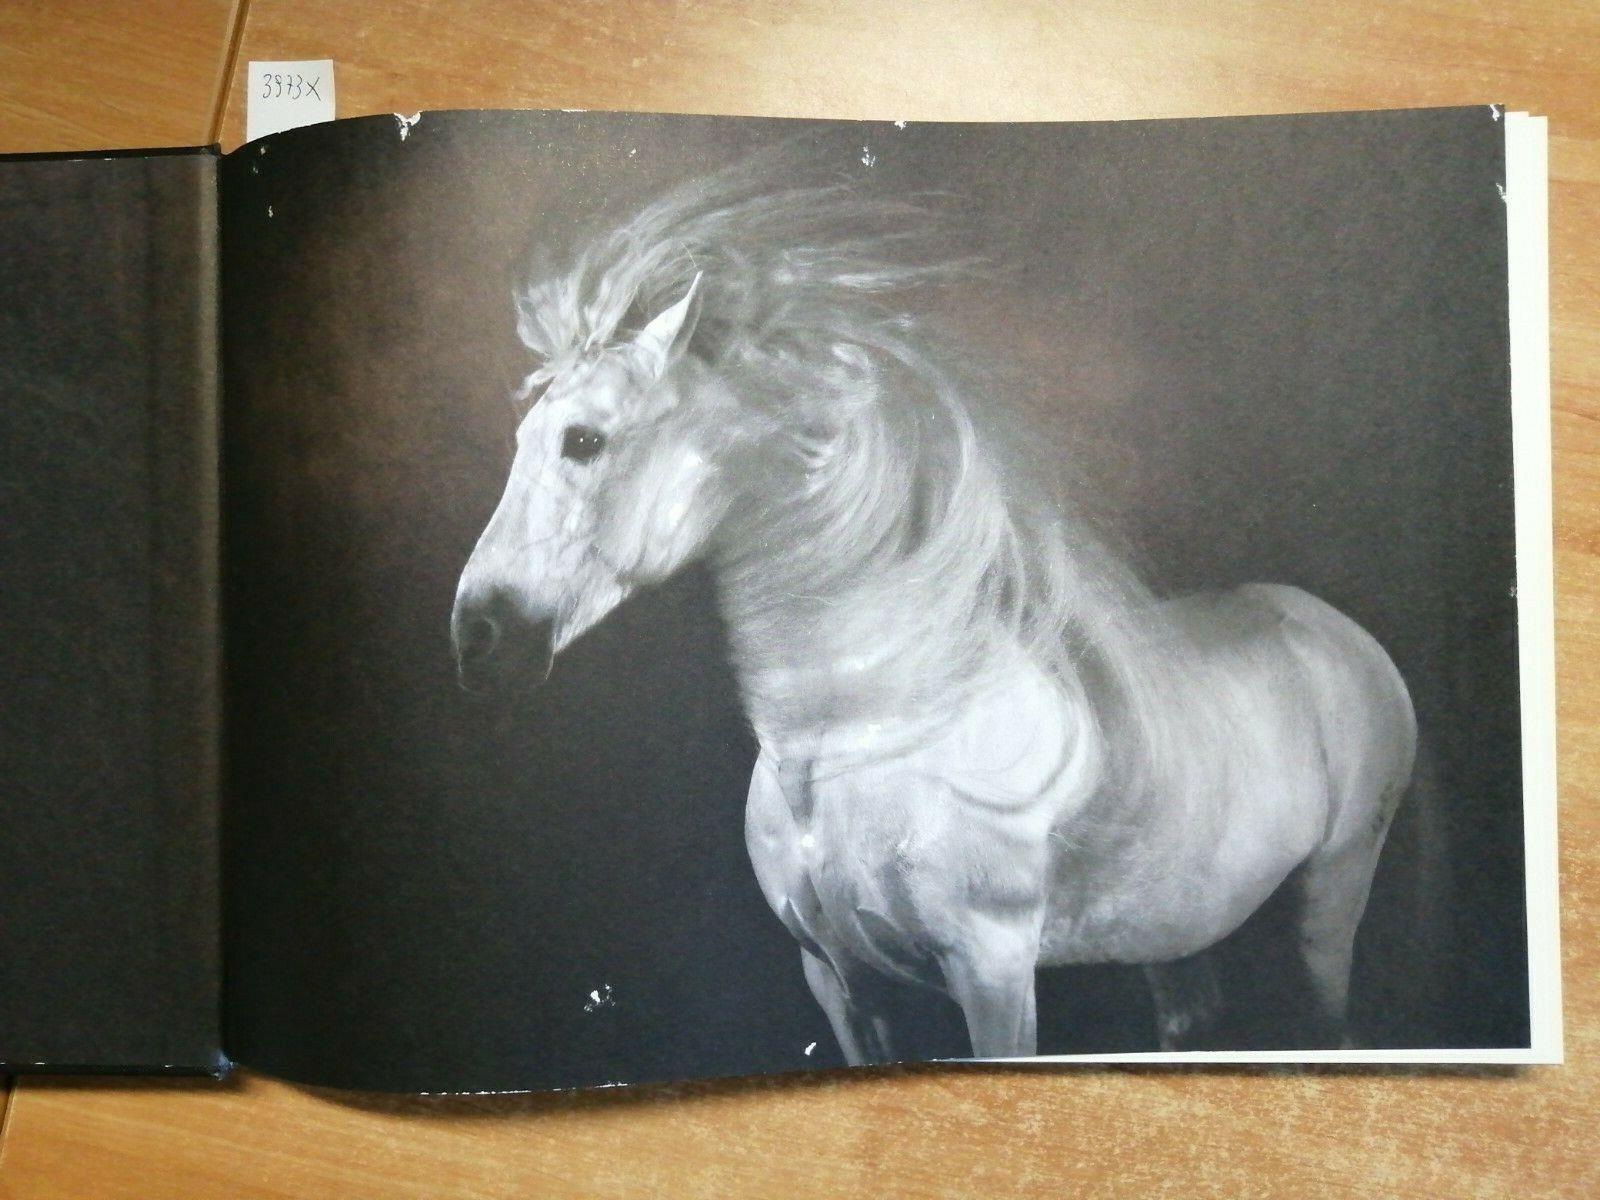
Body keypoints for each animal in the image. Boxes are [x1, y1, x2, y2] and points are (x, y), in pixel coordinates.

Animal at [449, 155, 1418, 1062]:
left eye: (583, 441)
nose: (477, 635)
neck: (856, 744)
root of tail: (1330, 628)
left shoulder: (991, 971)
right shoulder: (838, 983)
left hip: (1331, 898)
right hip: (1175, 930)